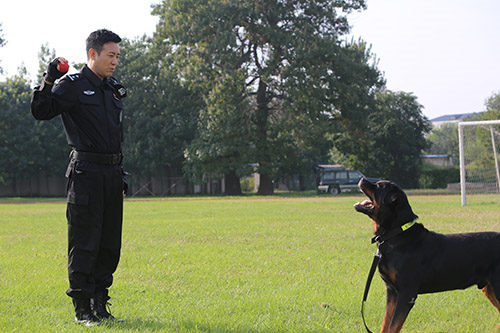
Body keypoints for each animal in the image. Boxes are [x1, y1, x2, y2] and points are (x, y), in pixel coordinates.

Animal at [354, 178, 500, 332]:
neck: (396, 235)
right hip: (489, 288)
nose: (362, 179)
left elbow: (393, 326)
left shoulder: (407, 294)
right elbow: (386, 324)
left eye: (379, 186)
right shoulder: (392, 292)